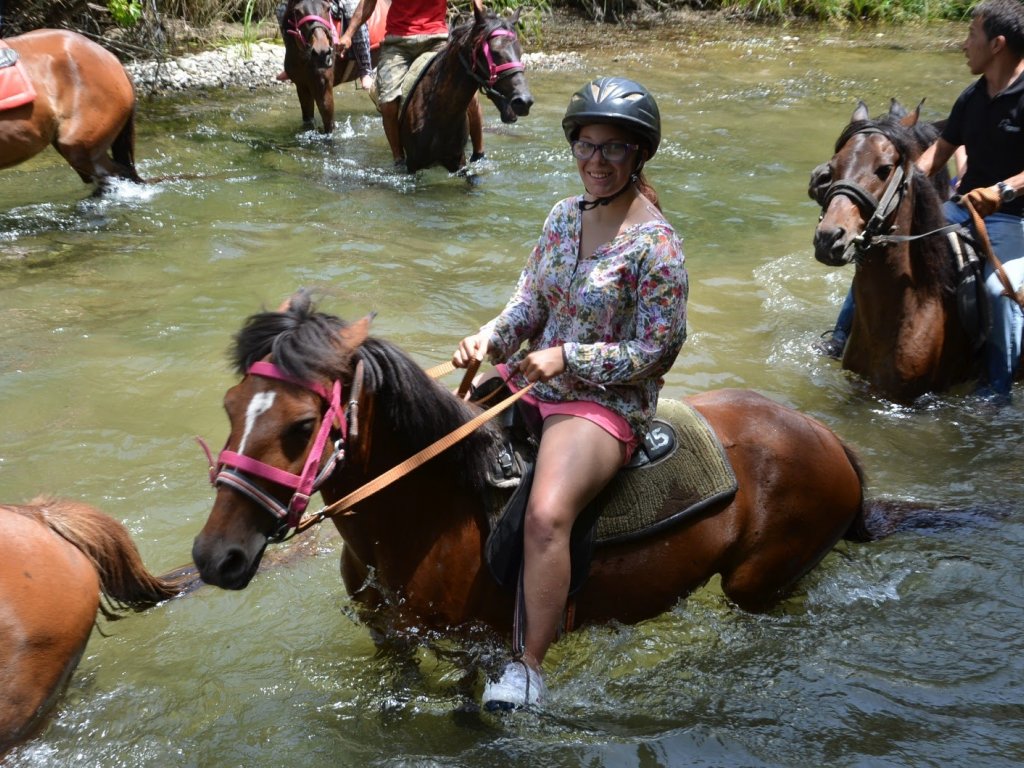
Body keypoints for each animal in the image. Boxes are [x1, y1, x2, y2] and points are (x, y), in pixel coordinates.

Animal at [192, 290, 913, 659]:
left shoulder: (480, 653)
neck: (427, 517)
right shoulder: (390, 640)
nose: (214, 556)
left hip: (758, 584)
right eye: (228, 406)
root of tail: (827, 437)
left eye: (300, 425)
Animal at [278, 0, 385, 132]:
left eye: (328, 8)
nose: (322, 53)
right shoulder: (302, 86)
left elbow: (329, 125)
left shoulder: (324, 87)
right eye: (297, 12)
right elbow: (308, 121)